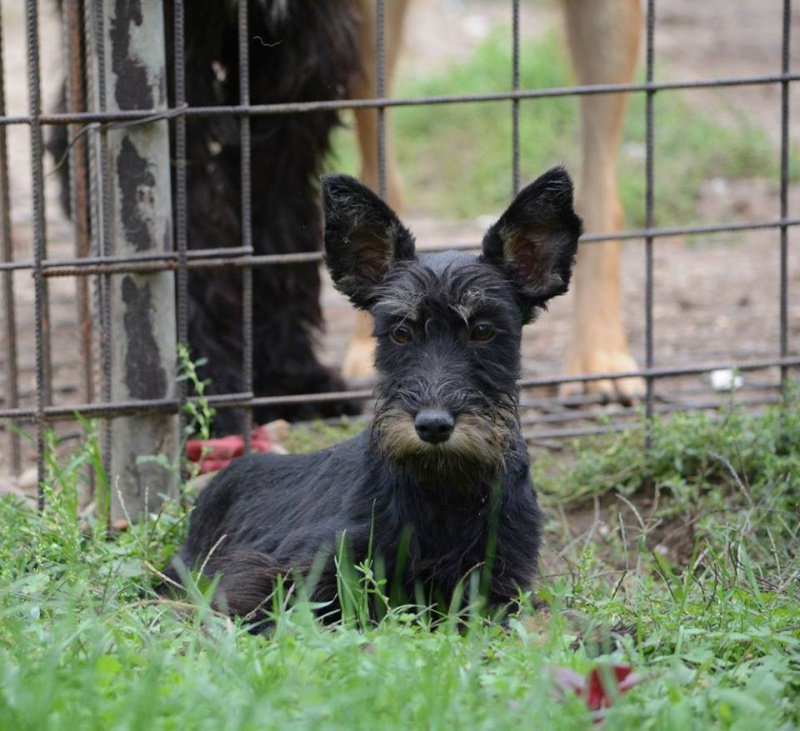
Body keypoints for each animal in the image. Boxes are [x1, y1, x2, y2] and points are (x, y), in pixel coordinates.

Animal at [164, 169, 580, 628]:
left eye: (483, 330)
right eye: (400, 332)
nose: (433, 425)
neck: (445, 488)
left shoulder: (499, 585)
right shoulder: (289, 567)